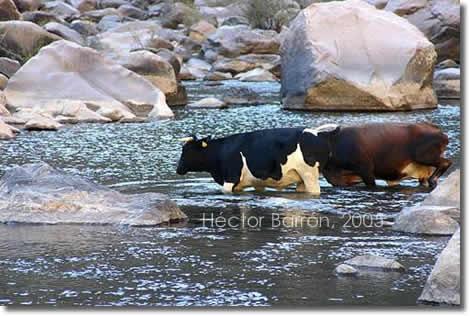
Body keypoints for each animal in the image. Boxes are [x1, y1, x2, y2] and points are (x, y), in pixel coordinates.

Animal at [175, 124, 338, 194]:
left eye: (187, 150)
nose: (178, 169)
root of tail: (319, 133)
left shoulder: (230, 178)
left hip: (310, 175)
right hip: (301, 179)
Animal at [324, 122, 452, 189]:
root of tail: (443, 135)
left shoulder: (366, 169)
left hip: (424, 156)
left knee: (446, 162)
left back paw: (433, 180)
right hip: (423, 167)